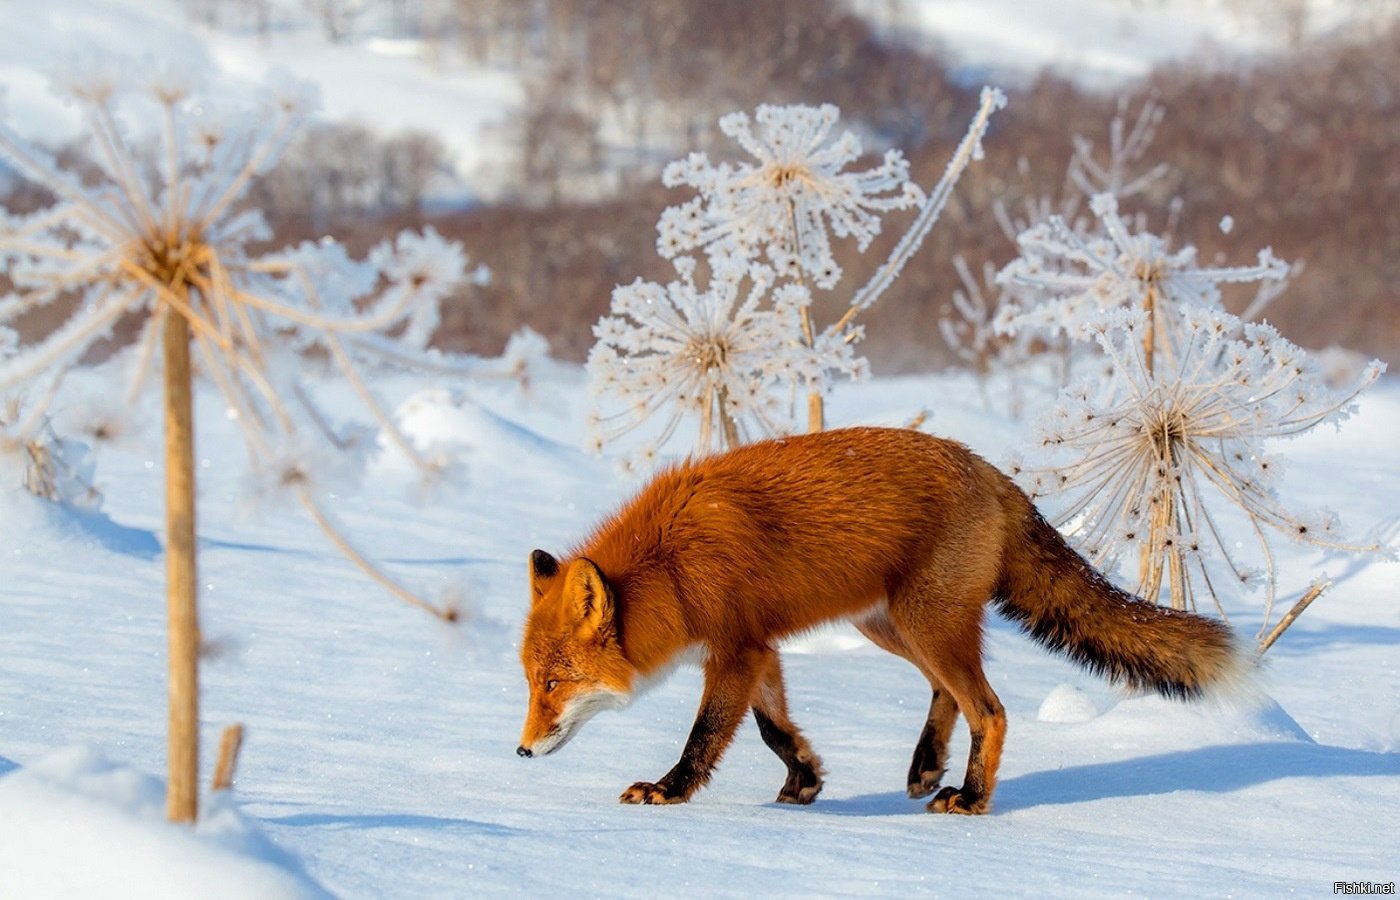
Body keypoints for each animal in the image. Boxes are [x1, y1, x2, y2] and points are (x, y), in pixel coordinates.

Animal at [520, 428, 1243, 817]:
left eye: (555, 684)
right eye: (530, 683)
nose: (522, 752)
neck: (670, 564)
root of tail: (986, 468)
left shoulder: (736, 651)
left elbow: (706, 736)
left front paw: (668, 791)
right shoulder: (757, 648)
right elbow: (774, 728)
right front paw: (804, 780)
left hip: (923, 622)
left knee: (988, 709)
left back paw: (970, 798)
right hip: (892, 625)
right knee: (947, 692)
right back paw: (927, 765)